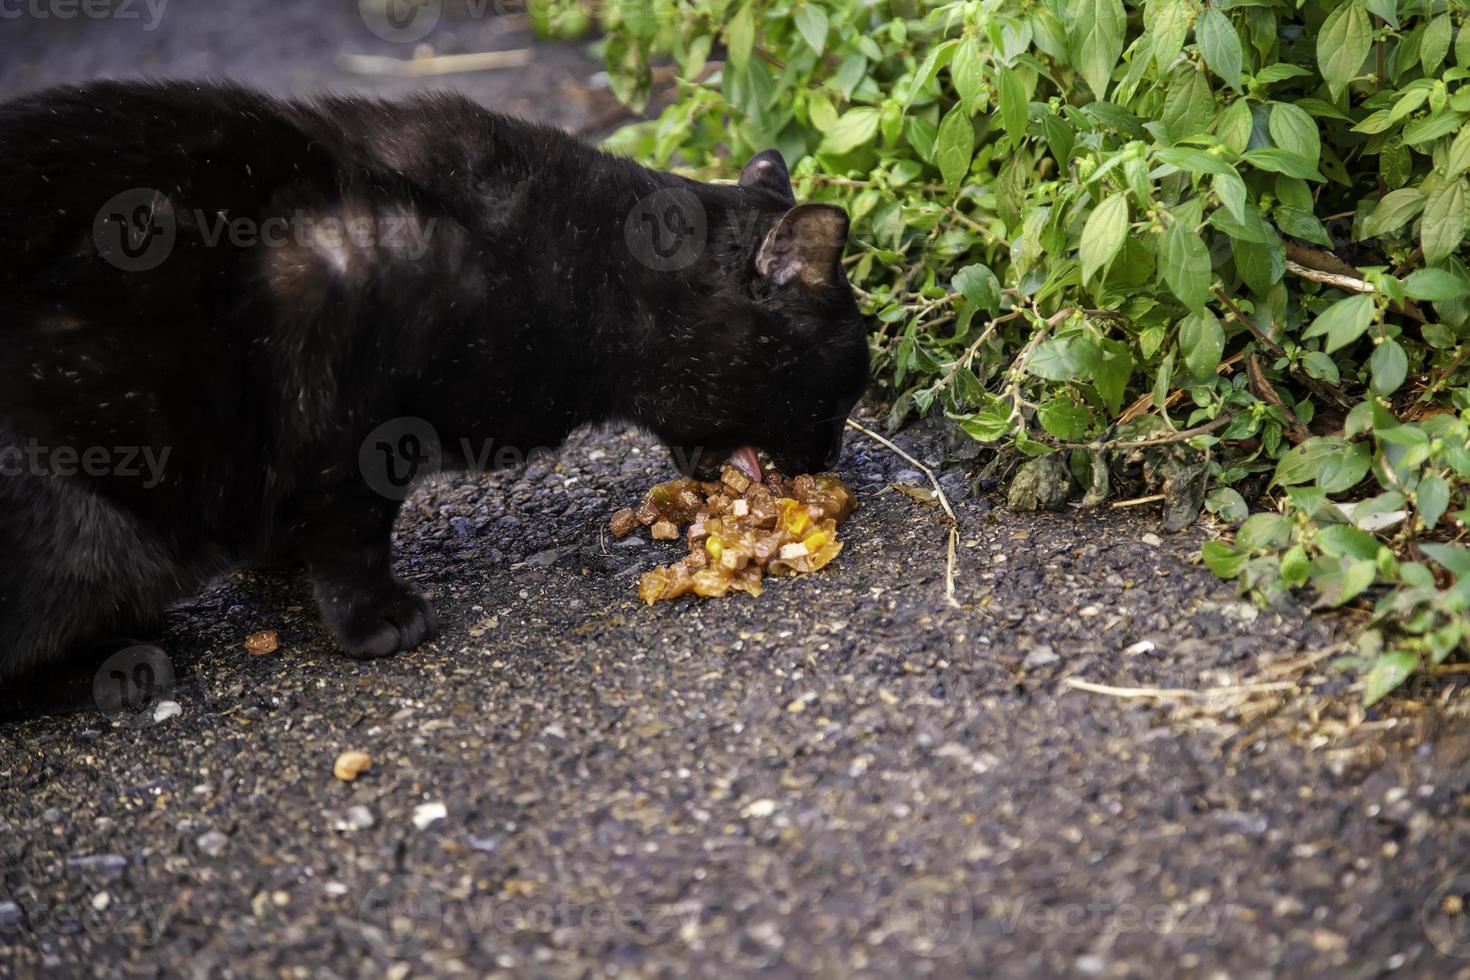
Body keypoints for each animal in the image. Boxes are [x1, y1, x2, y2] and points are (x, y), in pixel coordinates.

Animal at [0, 80, 870, 687]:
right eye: (837, 398)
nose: (828, 461)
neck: (570, 265)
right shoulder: (353, 422)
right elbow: (351, 536)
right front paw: (375, 622)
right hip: (87, 522)